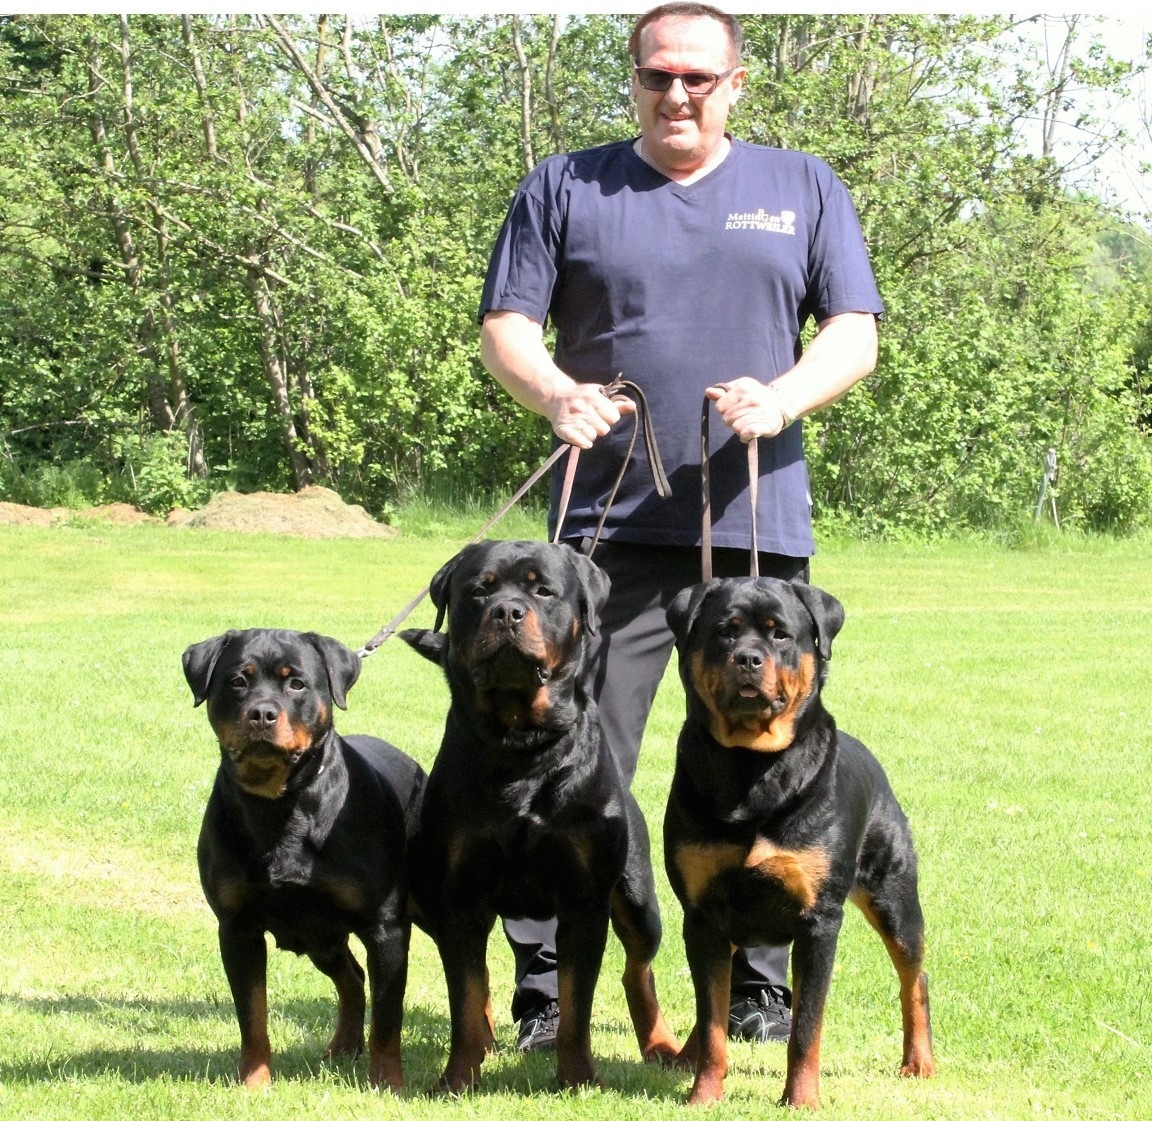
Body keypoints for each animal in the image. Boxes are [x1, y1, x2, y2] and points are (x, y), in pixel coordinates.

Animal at [182, 627, 426, 1090]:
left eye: (296, 683)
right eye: (238, 681)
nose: (262, 713)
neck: (280, 805)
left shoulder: (385, 928)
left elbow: (388, 1017)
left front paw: (388, 1082)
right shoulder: (237, 928)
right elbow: (252, 1015)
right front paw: (254, 1080)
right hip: (319, 938)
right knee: (351, 979)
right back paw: (343, 1046)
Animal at [398, 539, 680, 1092]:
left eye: (543, 590)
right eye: (479, 590)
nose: (507, 611)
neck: (520, 746)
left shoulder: (583, 902)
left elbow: (576, 1004)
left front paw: (578, 1078)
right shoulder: (460, 896)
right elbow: (465, 996)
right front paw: (458, 1078)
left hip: (637, 895)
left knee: (638, 968)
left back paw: (662, 1044)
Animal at [664, 577, 935, 1109]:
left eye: (780, 634)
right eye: (725, 631)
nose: (749, 658)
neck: (750, 767)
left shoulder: (819, 922)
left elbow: (807, 1026)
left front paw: (802, 1099)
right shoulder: (702, 916)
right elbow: (712, 1019)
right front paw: (703, 1095)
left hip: (894, 898)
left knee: (914, 978)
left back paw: (920, 1061)